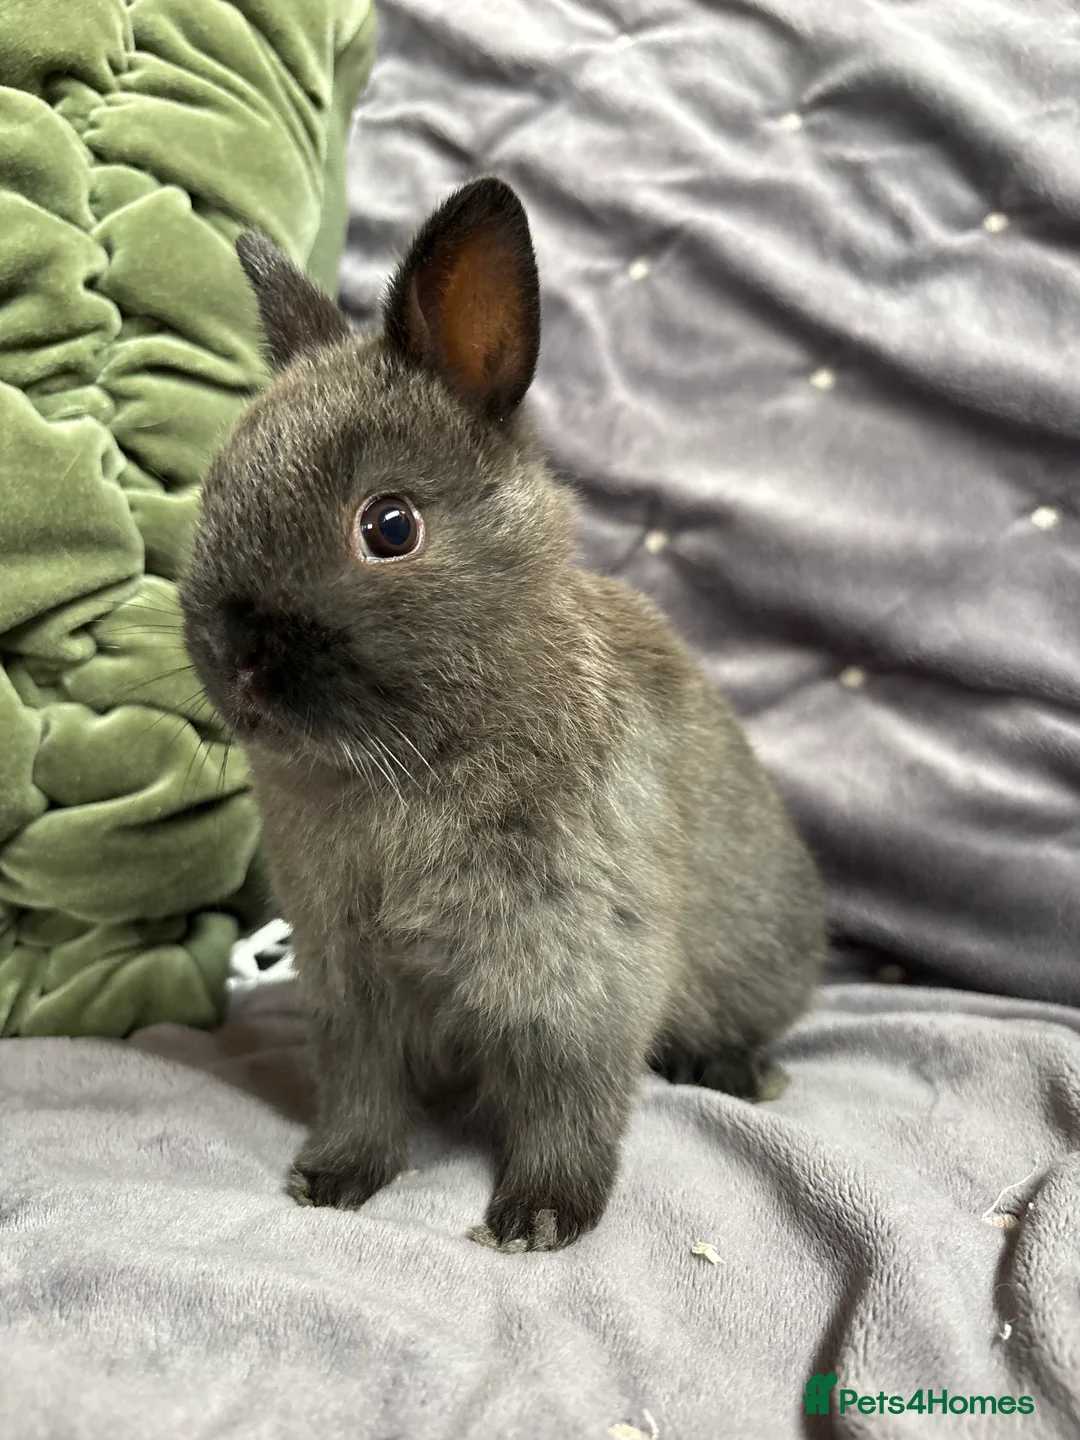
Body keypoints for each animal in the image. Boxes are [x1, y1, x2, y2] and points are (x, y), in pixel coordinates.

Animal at [179, 177, 826, 1252]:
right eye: (213, 497)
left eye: (389, 526)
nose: (239, 668)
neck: (415, 754)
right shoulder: (350, 983)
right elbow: (361, 1091)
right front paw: (332, 1180)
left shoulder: (576, 969)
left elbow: (571, 1099)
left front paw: (536, 1220)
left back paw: (736, 1073)